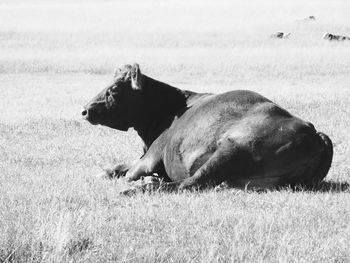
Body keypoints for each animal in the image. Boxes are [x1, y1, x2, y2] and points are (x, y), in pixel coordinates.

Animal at [82, 64, 334, 192]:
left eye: (114, 88)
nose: (85, 110)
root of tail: (314, 133)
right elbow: (119, 165)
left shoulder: (151, 156)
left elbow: (129, 172)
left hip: (232, 149)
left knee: (189, 183)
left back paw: (144, 186)